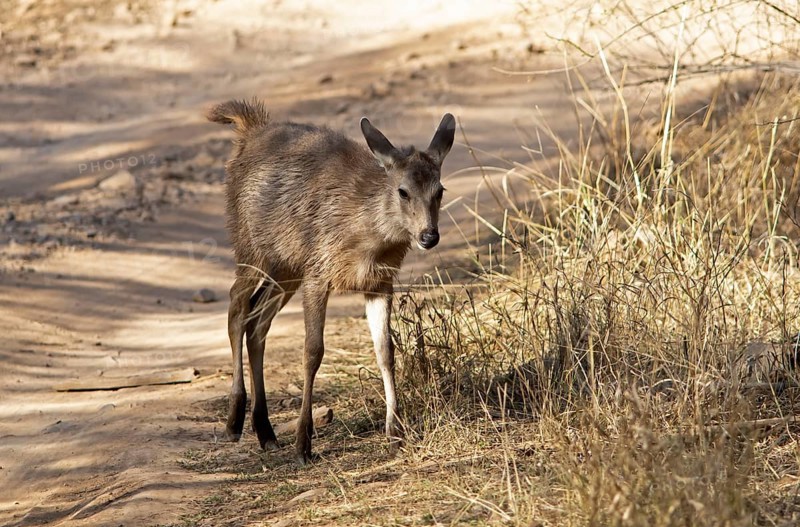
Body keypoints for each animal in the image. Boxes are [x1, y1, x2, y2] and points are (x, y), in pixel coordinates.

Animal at [207, 98, 455, 465]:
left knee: (257, 322)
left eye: (440, 190)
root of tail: (248, 131)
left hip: (286, 268)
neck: (365, 237)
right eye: (403, 191)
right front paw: (303, 444)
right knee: (237, 308)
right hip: (251, 246)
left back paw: (266, 432)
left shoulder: (380, 282)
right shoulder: (318, 271)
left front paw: (396, 433)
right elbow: (313, 351)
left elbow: (386, 350)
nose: (429, 236)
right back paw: (235, 421)